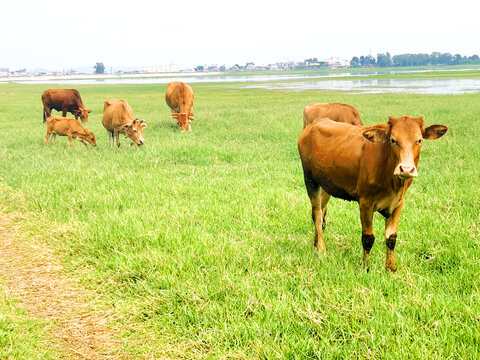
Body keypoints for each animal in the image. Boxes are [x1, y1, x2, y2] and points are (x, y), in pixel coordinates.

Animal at [298, 116, 448, 272]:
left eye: (419, 140)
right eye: (393, 140)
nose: (406, 169)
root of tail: (315, 123)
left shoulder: (398, 203)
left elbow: (391, 237)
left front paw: (391, 268)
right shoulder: (365, 203)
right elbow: (368, 238)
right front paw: (365, 267)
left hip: (326, 185)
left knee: (322, 213)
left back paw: (316, 244)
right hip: (310, 179)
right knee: (317, 215)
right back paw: (321, 249)